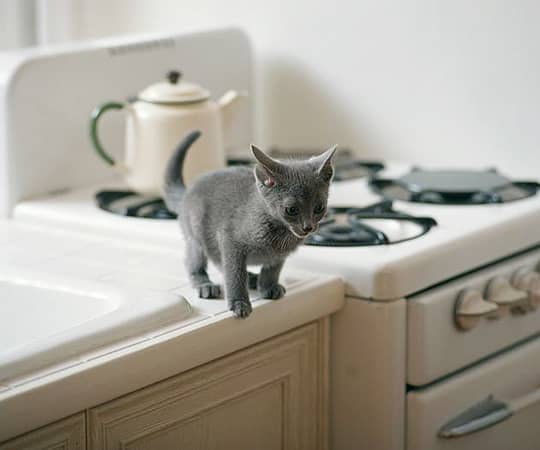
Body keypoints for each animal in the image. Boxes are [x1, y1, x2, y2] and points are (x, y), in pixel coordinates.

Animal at [162, 130, 336, 320]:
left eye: (319, 208)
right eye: (291, 210)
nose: (308, 227)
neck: (279, 234)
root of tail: (187, 192)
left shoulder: (279, 254)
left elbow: (272, 269)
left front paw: (268, 287)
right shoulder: (229, 239)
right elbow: (234, 273)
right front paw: (239, 303)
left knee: (218, 261)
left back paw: (252, 278)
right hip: (196, 234)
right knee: (195, 262)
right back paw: (205, 284)